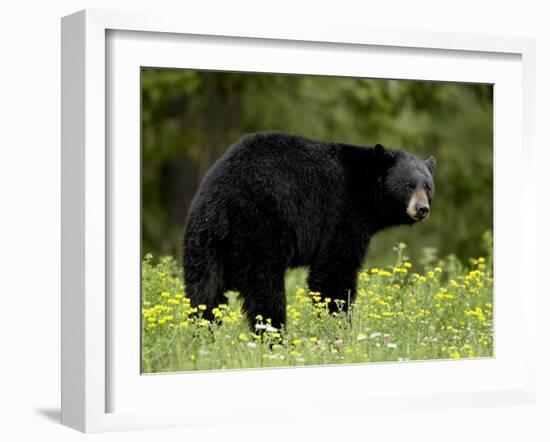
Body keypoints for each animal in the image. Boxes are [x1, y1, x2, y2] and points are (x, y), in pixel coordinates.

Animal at [183, 133, 438, 330]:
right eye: (408, 186)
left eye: (428, 187)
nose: (422, 209)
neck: (366, 191)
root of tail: (221, 200)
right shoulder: (342, 214)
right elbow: (334, 273)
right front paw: (339, 325)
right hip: (258, 231)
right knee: (264, 290)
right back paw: (274, 336)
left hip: (203, 240)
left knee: (203, 290)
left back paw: (204, 333)